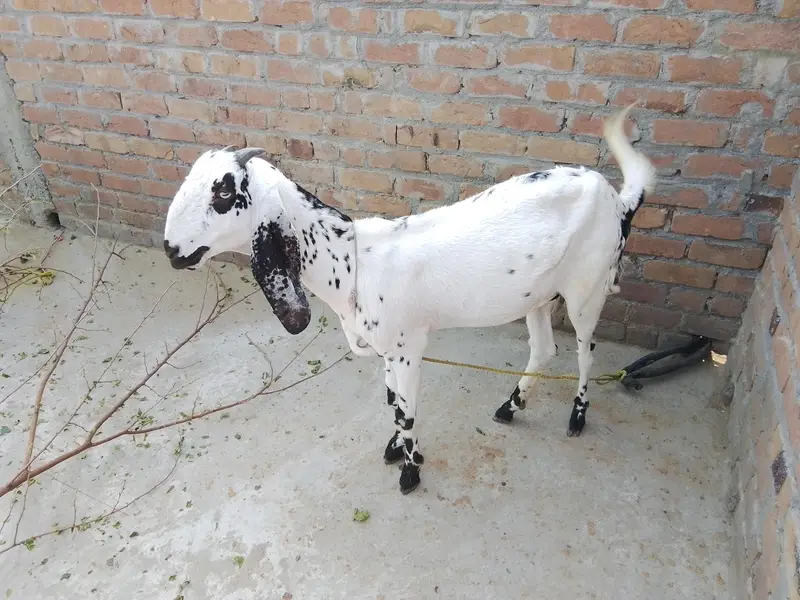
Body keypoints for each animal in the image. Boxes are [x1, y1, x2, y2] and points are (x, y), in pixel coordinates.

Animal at [162, 105, 656, 495]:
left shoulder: (409, 350)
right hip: (536, 295)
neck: (353, 261)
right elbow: (393, 405)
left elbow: (407, 413)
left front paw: (411, 471)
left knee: (585, 353)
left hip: (587, 290)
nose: (170, 249)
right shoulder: (387, 352)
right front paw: (396, 450)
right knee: (544, 349)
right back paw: (510, 407)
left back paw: (577, 417)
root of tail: (617, 199)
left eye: (224, 190)